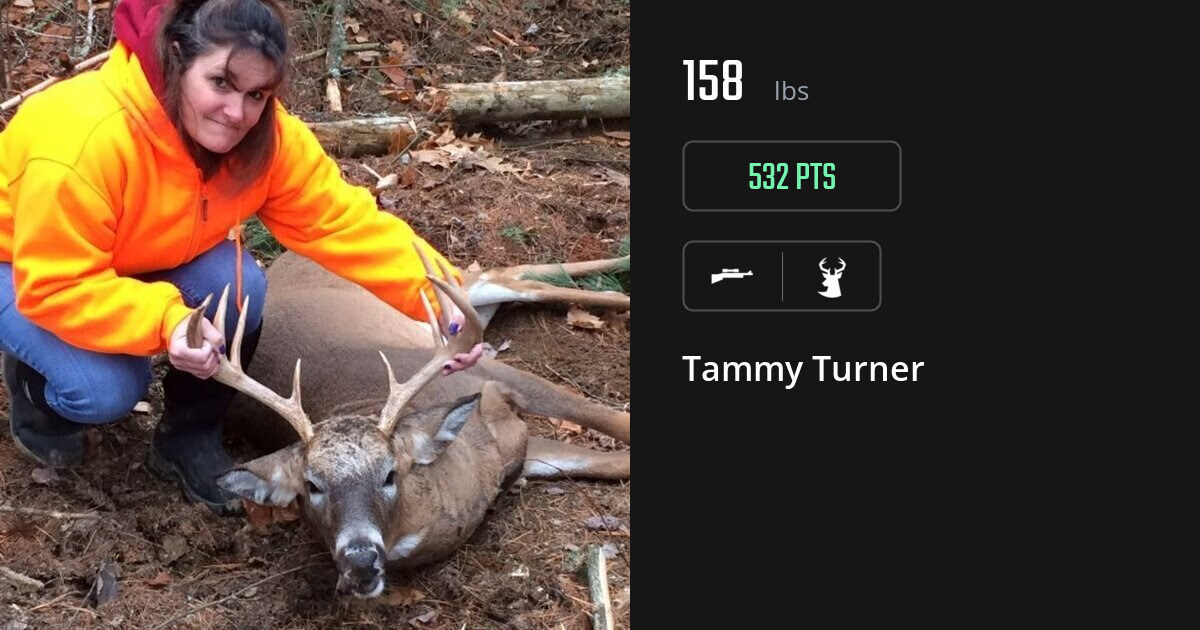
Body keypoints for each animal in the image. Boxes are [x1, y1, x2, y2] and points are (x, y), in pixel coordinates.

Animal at [199, 244, 629, 599]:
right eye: (312, 486)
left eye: (390, 473)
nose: (360, 561)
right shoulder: (522, 449)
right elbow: (615, 463)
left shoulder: (492, 376)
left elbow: (614, 420)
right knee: (509, 279)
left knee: (501, 277)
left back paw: (618, 288)